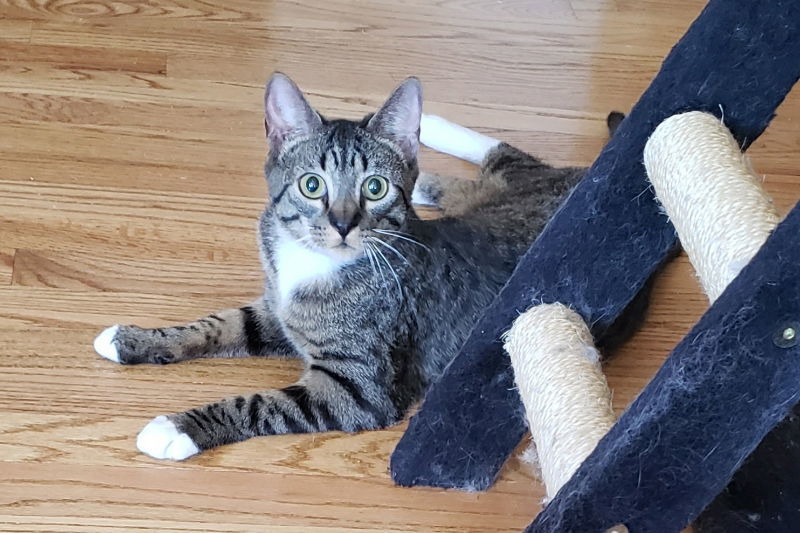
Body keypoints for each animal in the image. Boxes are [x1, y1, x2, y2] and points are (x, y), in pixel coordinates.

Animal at [92, 72, 592, 460]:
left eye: (375, 188)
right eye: (312, 185)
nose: (343, 224)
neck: (310, 261)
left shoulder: (356, 389)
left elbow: (259, 404)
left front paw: (178, 428)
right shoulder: (276, 310)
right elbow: (220, 323)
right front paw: (132, 339)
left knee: (508, 157)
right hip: (502, 188)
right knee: (498, 162)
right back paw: (430, 141)